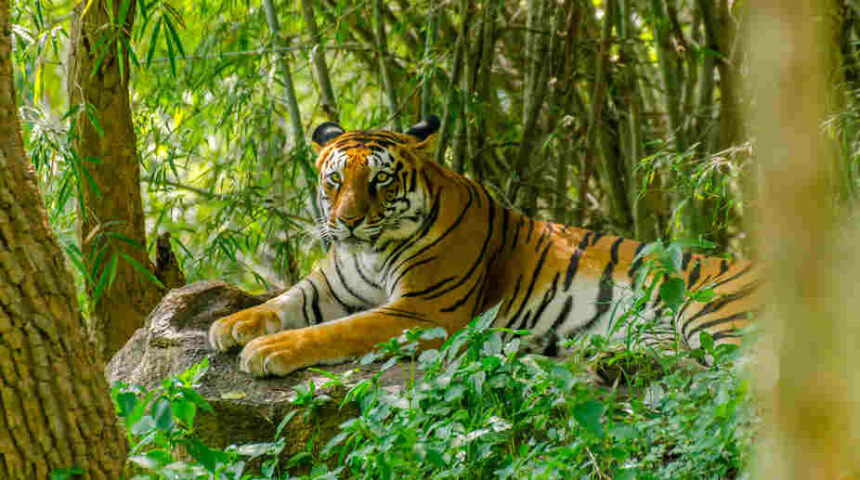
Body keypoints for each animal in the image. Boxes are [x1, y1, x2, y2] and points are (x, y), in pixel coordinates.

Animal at [209, 116, 760, 377]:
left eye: (380, 180)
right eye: (335, 180)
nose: (346, 221)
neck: (370, 249)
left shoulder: (422, 311)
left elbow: (336, 331)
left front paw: (268, 349)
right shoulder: (328, 286)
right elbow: (282, 301)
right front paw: (229, 325)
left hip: (707, 313)